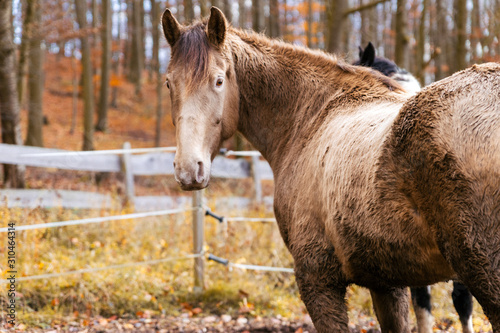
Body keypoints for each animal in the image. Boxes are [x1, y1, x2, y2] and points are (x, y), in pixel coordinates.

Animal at [163, 8, 500, 332]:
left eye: (219, 80)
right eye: (169, 83)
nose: (188, 169)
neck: (313, 115)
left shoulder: (318, 279)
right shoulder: (385, 283)